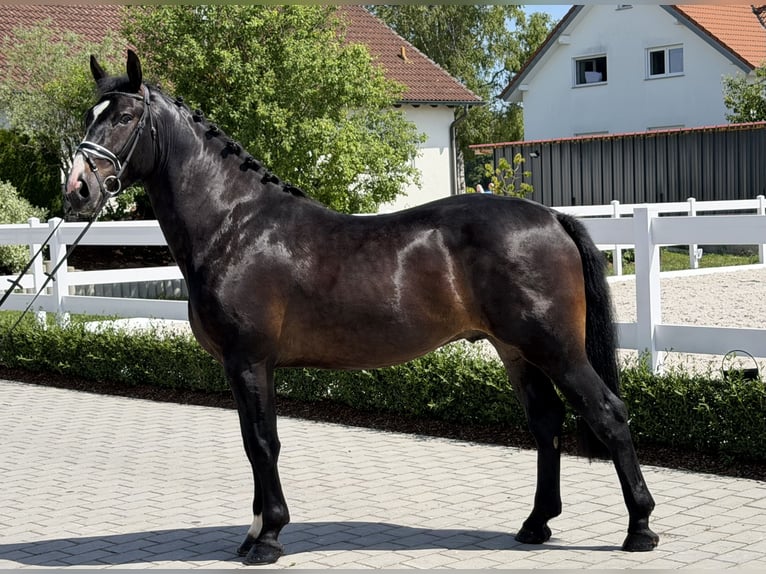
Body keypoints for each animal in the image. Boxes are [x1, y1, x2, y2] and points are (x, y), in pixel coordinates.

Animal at [64, 51, 658, 565]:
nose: (77, 189)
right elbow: (253, 444)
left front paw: (268, 537)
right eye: (89, 117)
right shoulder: (242, 368)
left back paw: (640, 528)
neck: (236, 226)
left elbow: (263, 442)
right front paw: (254, 531)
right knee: (545, 422)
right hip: (516, 351)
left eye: (124, 117)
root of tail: (551, 216)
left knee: (609, 413)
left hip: (556, 349)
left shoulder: (250, 361)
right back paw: (536, 524)